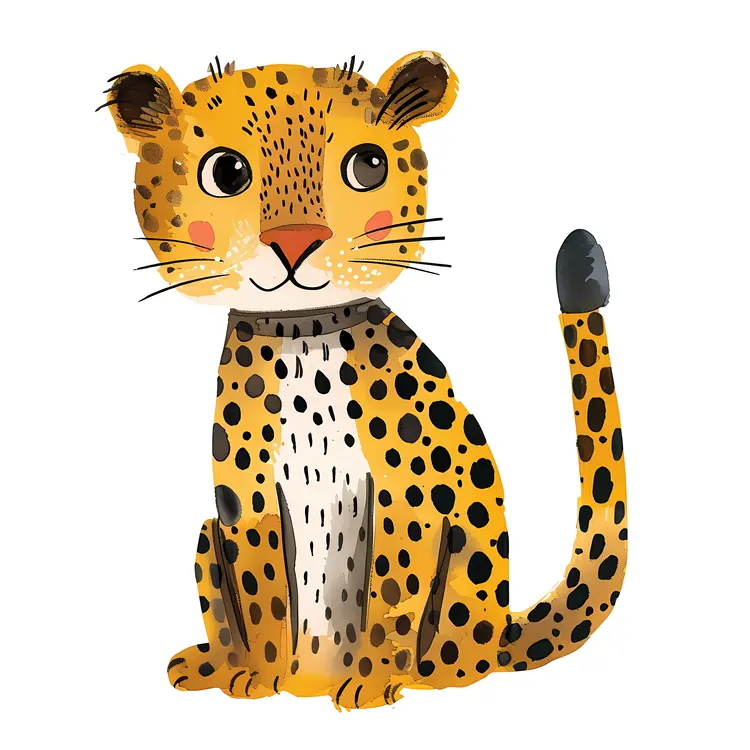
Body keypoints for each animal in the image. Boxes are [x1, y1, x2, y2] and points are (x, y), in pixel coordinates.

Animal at [102, 51, 627, 710]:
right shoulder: (246, 503)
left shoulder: (410, 498)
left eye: (367, 165)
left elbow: (392, 589)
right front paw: (261, 677)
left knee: (455, 659)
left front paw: (372, 682)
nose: (296, 244)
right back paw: (219, 666)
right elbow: (263, 590)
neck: (303, 335)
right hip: (205, 531)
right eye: (225, 172)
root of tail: (502, 636)